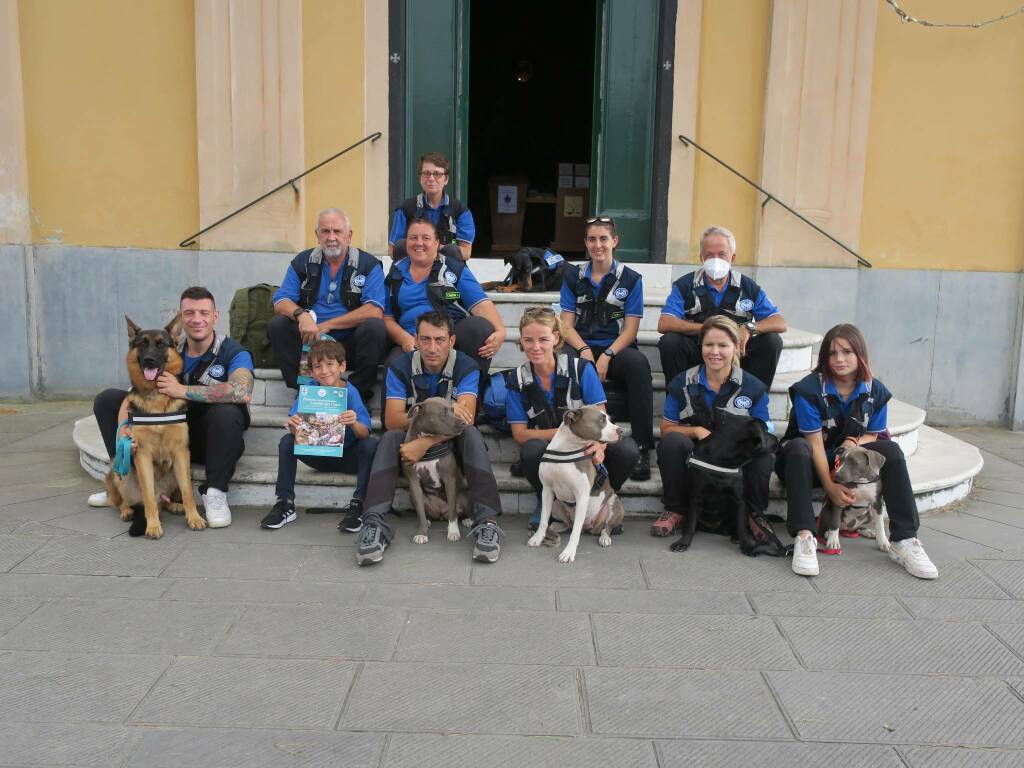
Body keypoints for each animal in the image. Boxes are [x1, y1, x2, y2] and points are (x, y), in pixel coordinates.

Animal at [104, 315, 206, 536]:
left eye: (161, 344)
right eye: (142, 344)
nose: (149, 359)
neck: (156, 396)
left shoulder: (180, 453)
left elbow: (188, 492)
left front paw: (194, 517)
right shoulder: (142, 454)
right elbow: (148, 496)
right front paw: (152, 525)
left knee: (167, 500)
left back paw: (175, 506)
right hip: (119, 467)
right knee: (124, 500)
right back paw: (127, 510)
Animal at [403, 399, 475, 544]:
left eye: (453, 410)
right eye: (443, 414)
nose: (463, 423)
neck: (429, 445)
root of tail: (441, 513)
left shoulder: (449, 480)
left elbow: (453, 511)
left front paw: (453, 532)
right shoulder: (414, 482)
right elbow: (420, 511)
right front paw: (422, 533)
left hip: (467, 494)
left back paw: (469, 519)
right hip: (413, 496)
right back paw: (428, 521)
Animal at [528, 409, 622, 565]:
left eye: (608, 418)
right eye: (602, 420)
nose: (621, 430)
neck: (567, 448)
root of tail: (591, 527)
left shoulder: (582, 497)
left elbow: (575, 532)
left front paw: (568, 552)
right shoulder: (547, 490)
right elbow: (543, 520)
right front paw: (538, 537)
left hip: (615, 502)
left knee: (605, 527)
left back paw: (604, 537)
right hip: (556, 505)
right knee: (569, 524)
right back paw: (556, 527)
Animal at [671, 411, 782, 557]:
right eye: (765, 430)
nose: (779, 441)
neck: (723, 460)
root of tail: (715, 529)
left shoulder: (740, 499)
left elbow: (741, 526)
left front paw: (747, 545)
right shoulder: (696, 496)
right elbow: (691, 523)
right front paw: (683, 542)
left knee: (743, 525)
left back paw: (738, 537)